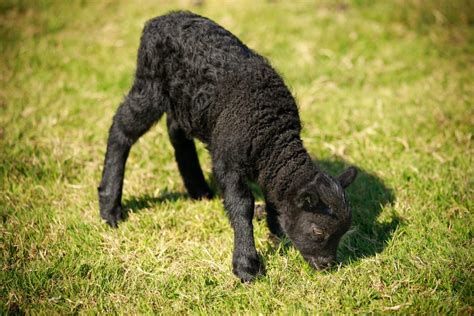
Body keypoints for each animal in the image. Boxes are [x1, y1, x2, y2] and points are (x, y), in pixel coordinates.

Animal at [97, 11, 356, 282]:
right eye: (318, 232)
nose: (327, 265)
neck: (271, 136)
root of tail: (160, 19)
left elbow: (273, 195)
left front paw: (277, 231)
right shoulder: (228, 160)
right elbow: (241, 206)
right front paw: (246, 265)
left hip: (185, 101)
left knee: (176, 131)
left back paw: (198, 189)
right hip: (150, 83)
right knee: (122, 129)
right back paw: (110, 206)